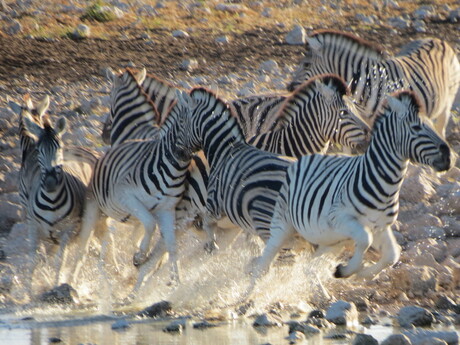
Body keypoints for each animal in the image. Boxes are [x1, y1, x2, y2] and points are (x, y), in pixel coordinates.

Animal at [9, 94, 97, 296]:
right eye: (40, 151)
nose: (50, 183)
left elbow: (59, 261)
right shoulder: (33, 225)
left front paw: (57, 285)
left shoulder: (66, 230)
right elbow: (34, 259)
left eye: (59, 148)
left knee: (82, 254)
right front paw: (29, 291)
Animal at [253, 90, 454, 282]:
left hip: (327, 240)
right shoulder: (340, 219)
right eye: (416, 127)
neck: (385, 188)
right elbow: (365, 240)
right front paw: (346, 270)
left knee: (307, 267)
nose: (449, 158)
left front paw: (361, 273)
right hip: (283, 225)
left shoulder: (380, 227)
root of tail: (306, 157)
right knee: (263, 266)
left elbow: (392, 255)